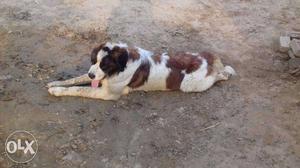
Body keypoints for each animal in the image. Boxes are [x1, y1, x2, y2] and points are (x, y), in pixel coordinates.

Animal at [47, 42, 236, 100]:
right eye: (94, 61)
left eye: (104, 65)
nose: (91, 74)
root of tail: (207, 57)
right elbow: (75, 80)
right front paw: (55, 82)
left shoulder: (107, 94)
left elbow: (79, 89)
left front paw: (57, 90)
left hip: (191, 85)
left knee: (221, 75)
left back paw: (226, 73)